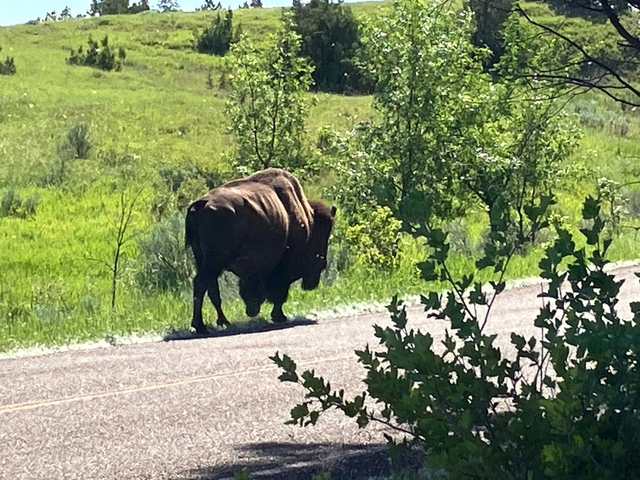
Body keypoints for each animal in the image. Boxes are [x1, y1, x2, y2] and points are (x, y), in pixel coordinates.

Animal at [185, 168, 336, 333]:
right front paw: (279, 316)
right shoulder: (282, 267)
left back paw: (223, 322)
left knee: (211, 289)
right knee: (201, 284)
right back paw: (200, 326)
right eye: (322, 235)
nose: (322, 263)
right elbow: (279, 293)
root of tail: (201, 204)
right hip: (214, 261)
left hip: (203, 259)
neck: (307, 220)